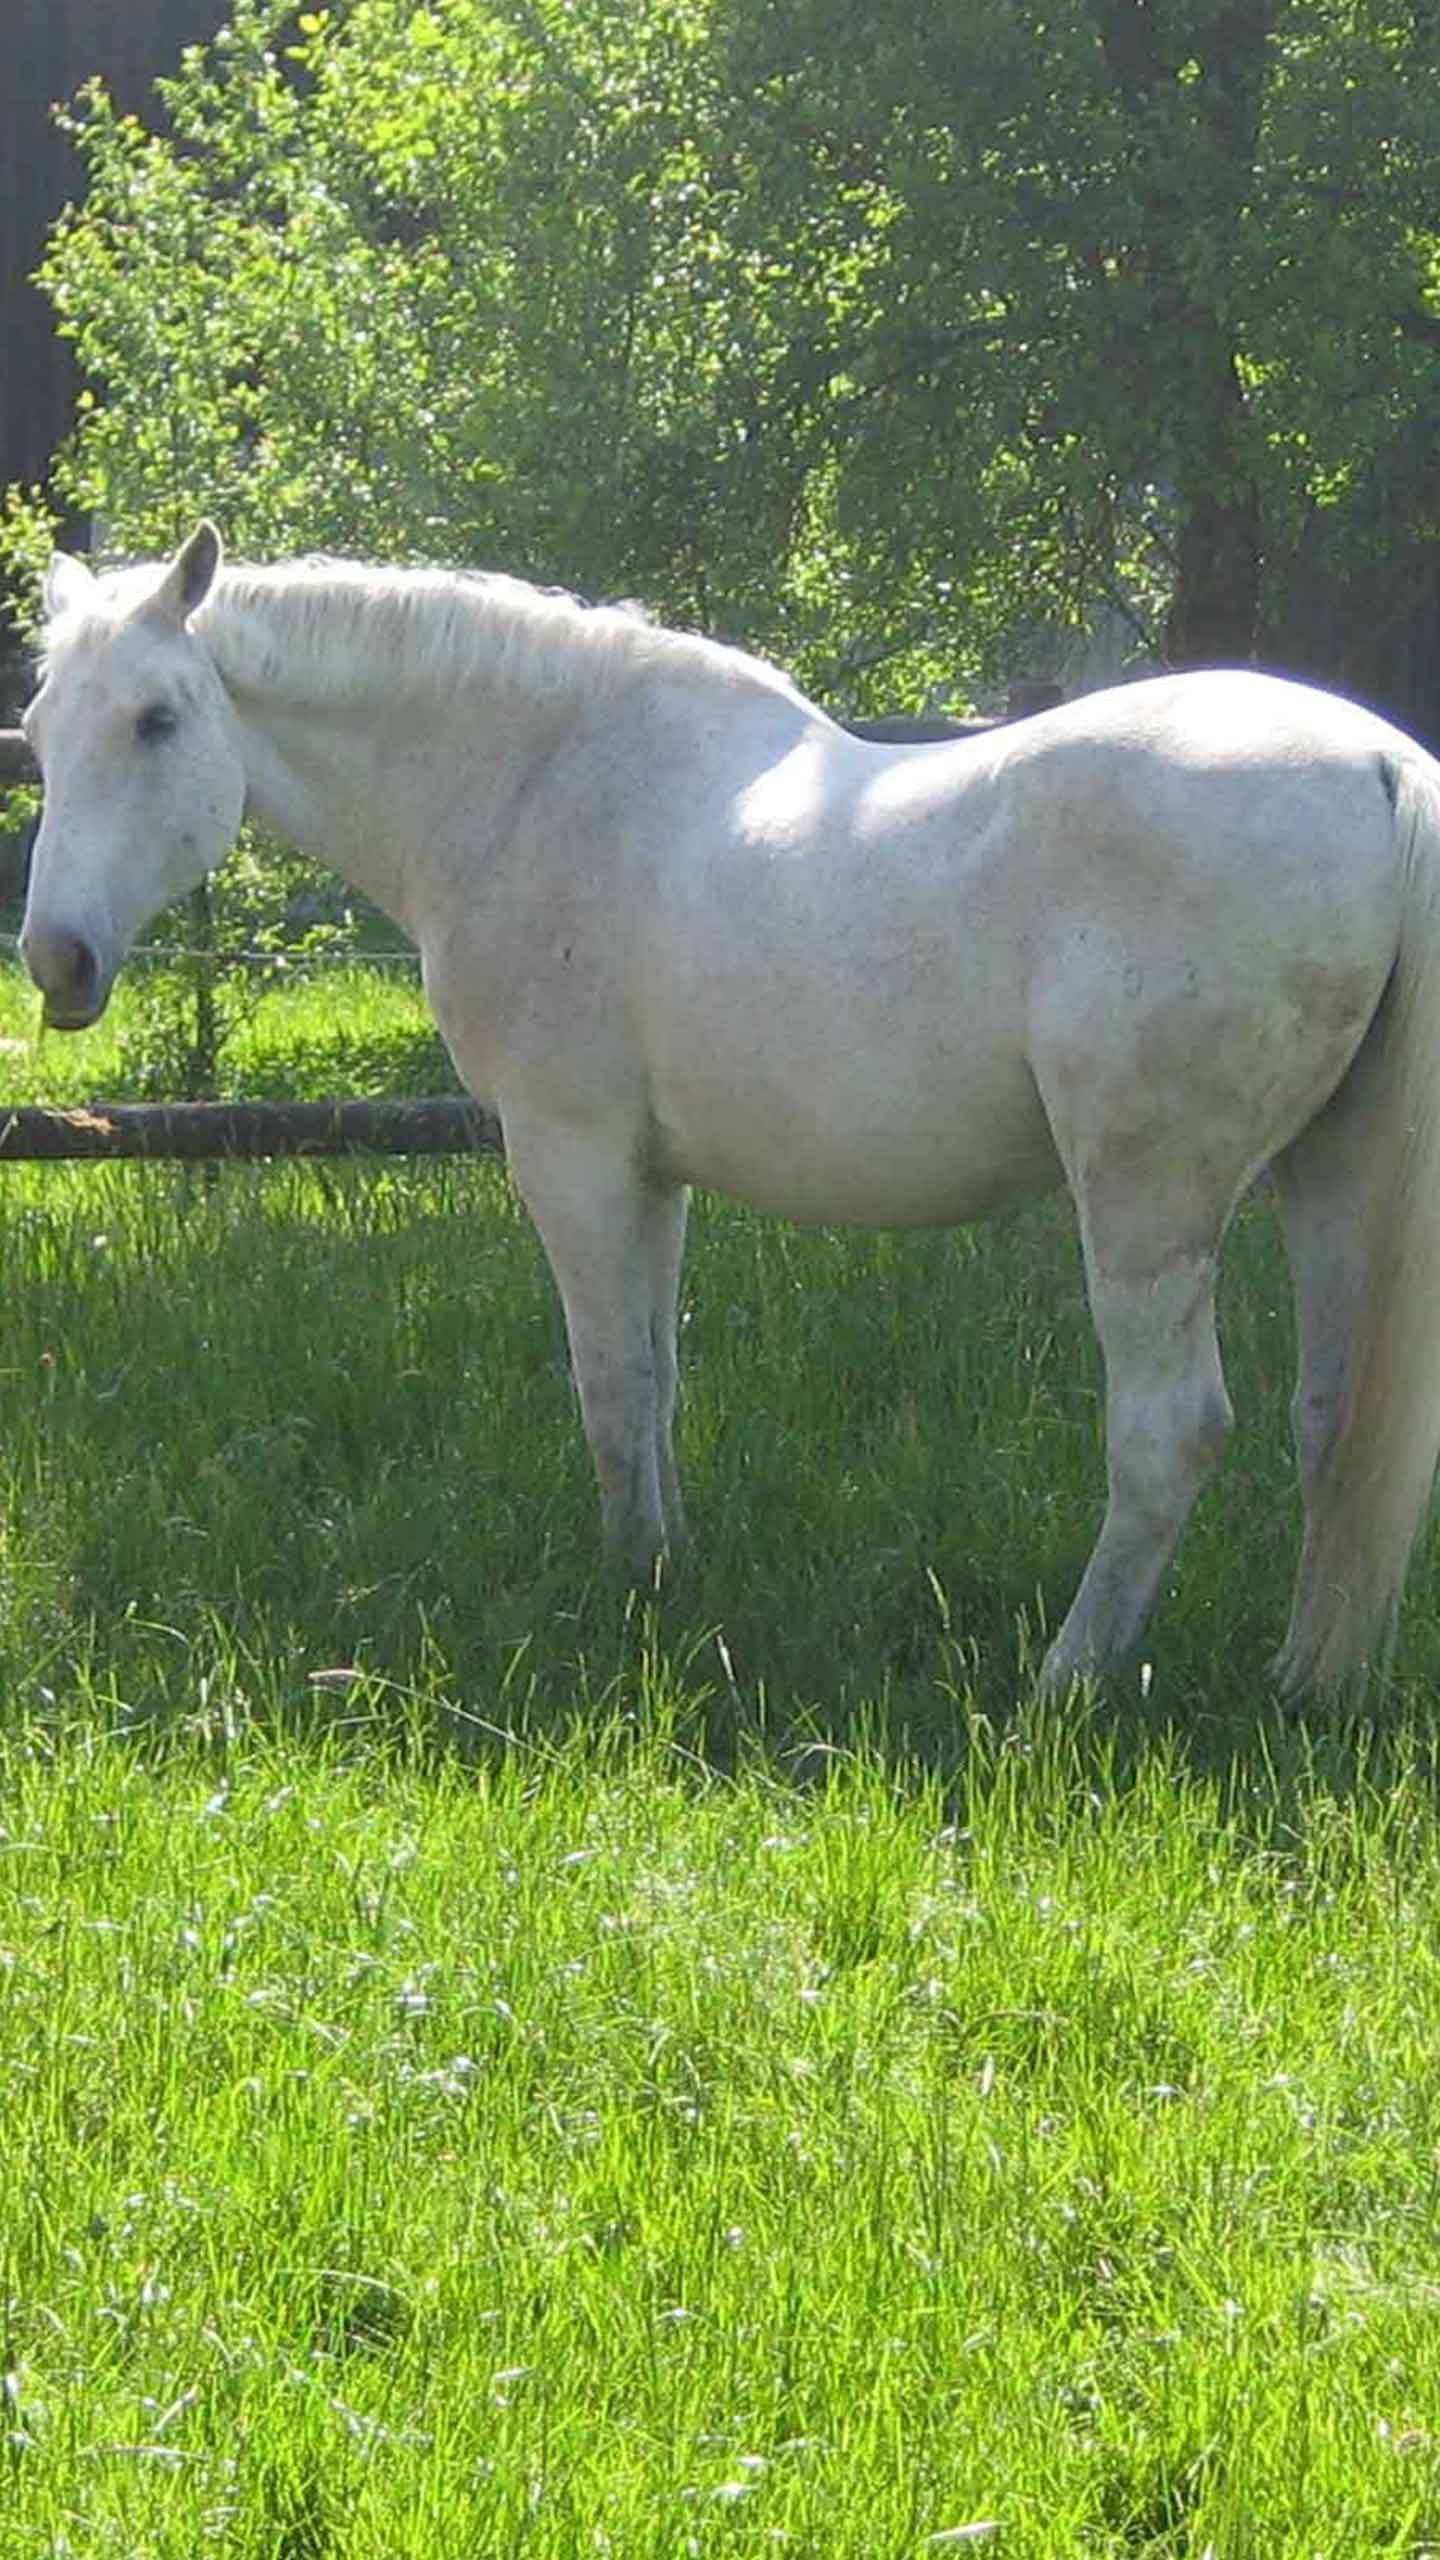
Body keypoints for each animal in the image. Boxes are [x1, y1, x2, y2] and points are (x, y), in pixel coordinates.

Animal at [19, 522, 1440, 1697]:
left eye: (155, 718)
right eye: (37, 728)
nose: (57, 960)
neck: (534, 785)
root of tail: (1380, 768)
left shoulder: (572, 1158)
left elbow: (607, 1383)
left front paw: (628, 1591)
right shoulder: (654, 1177)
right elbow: (657, 1379)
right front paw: (670, 1572)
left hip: (1149, 1196)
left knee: (1169, 1432)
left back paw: (1068, 1684)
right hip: (1329, 1175)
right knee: (1332, 1419)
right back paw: (1305, 1678)